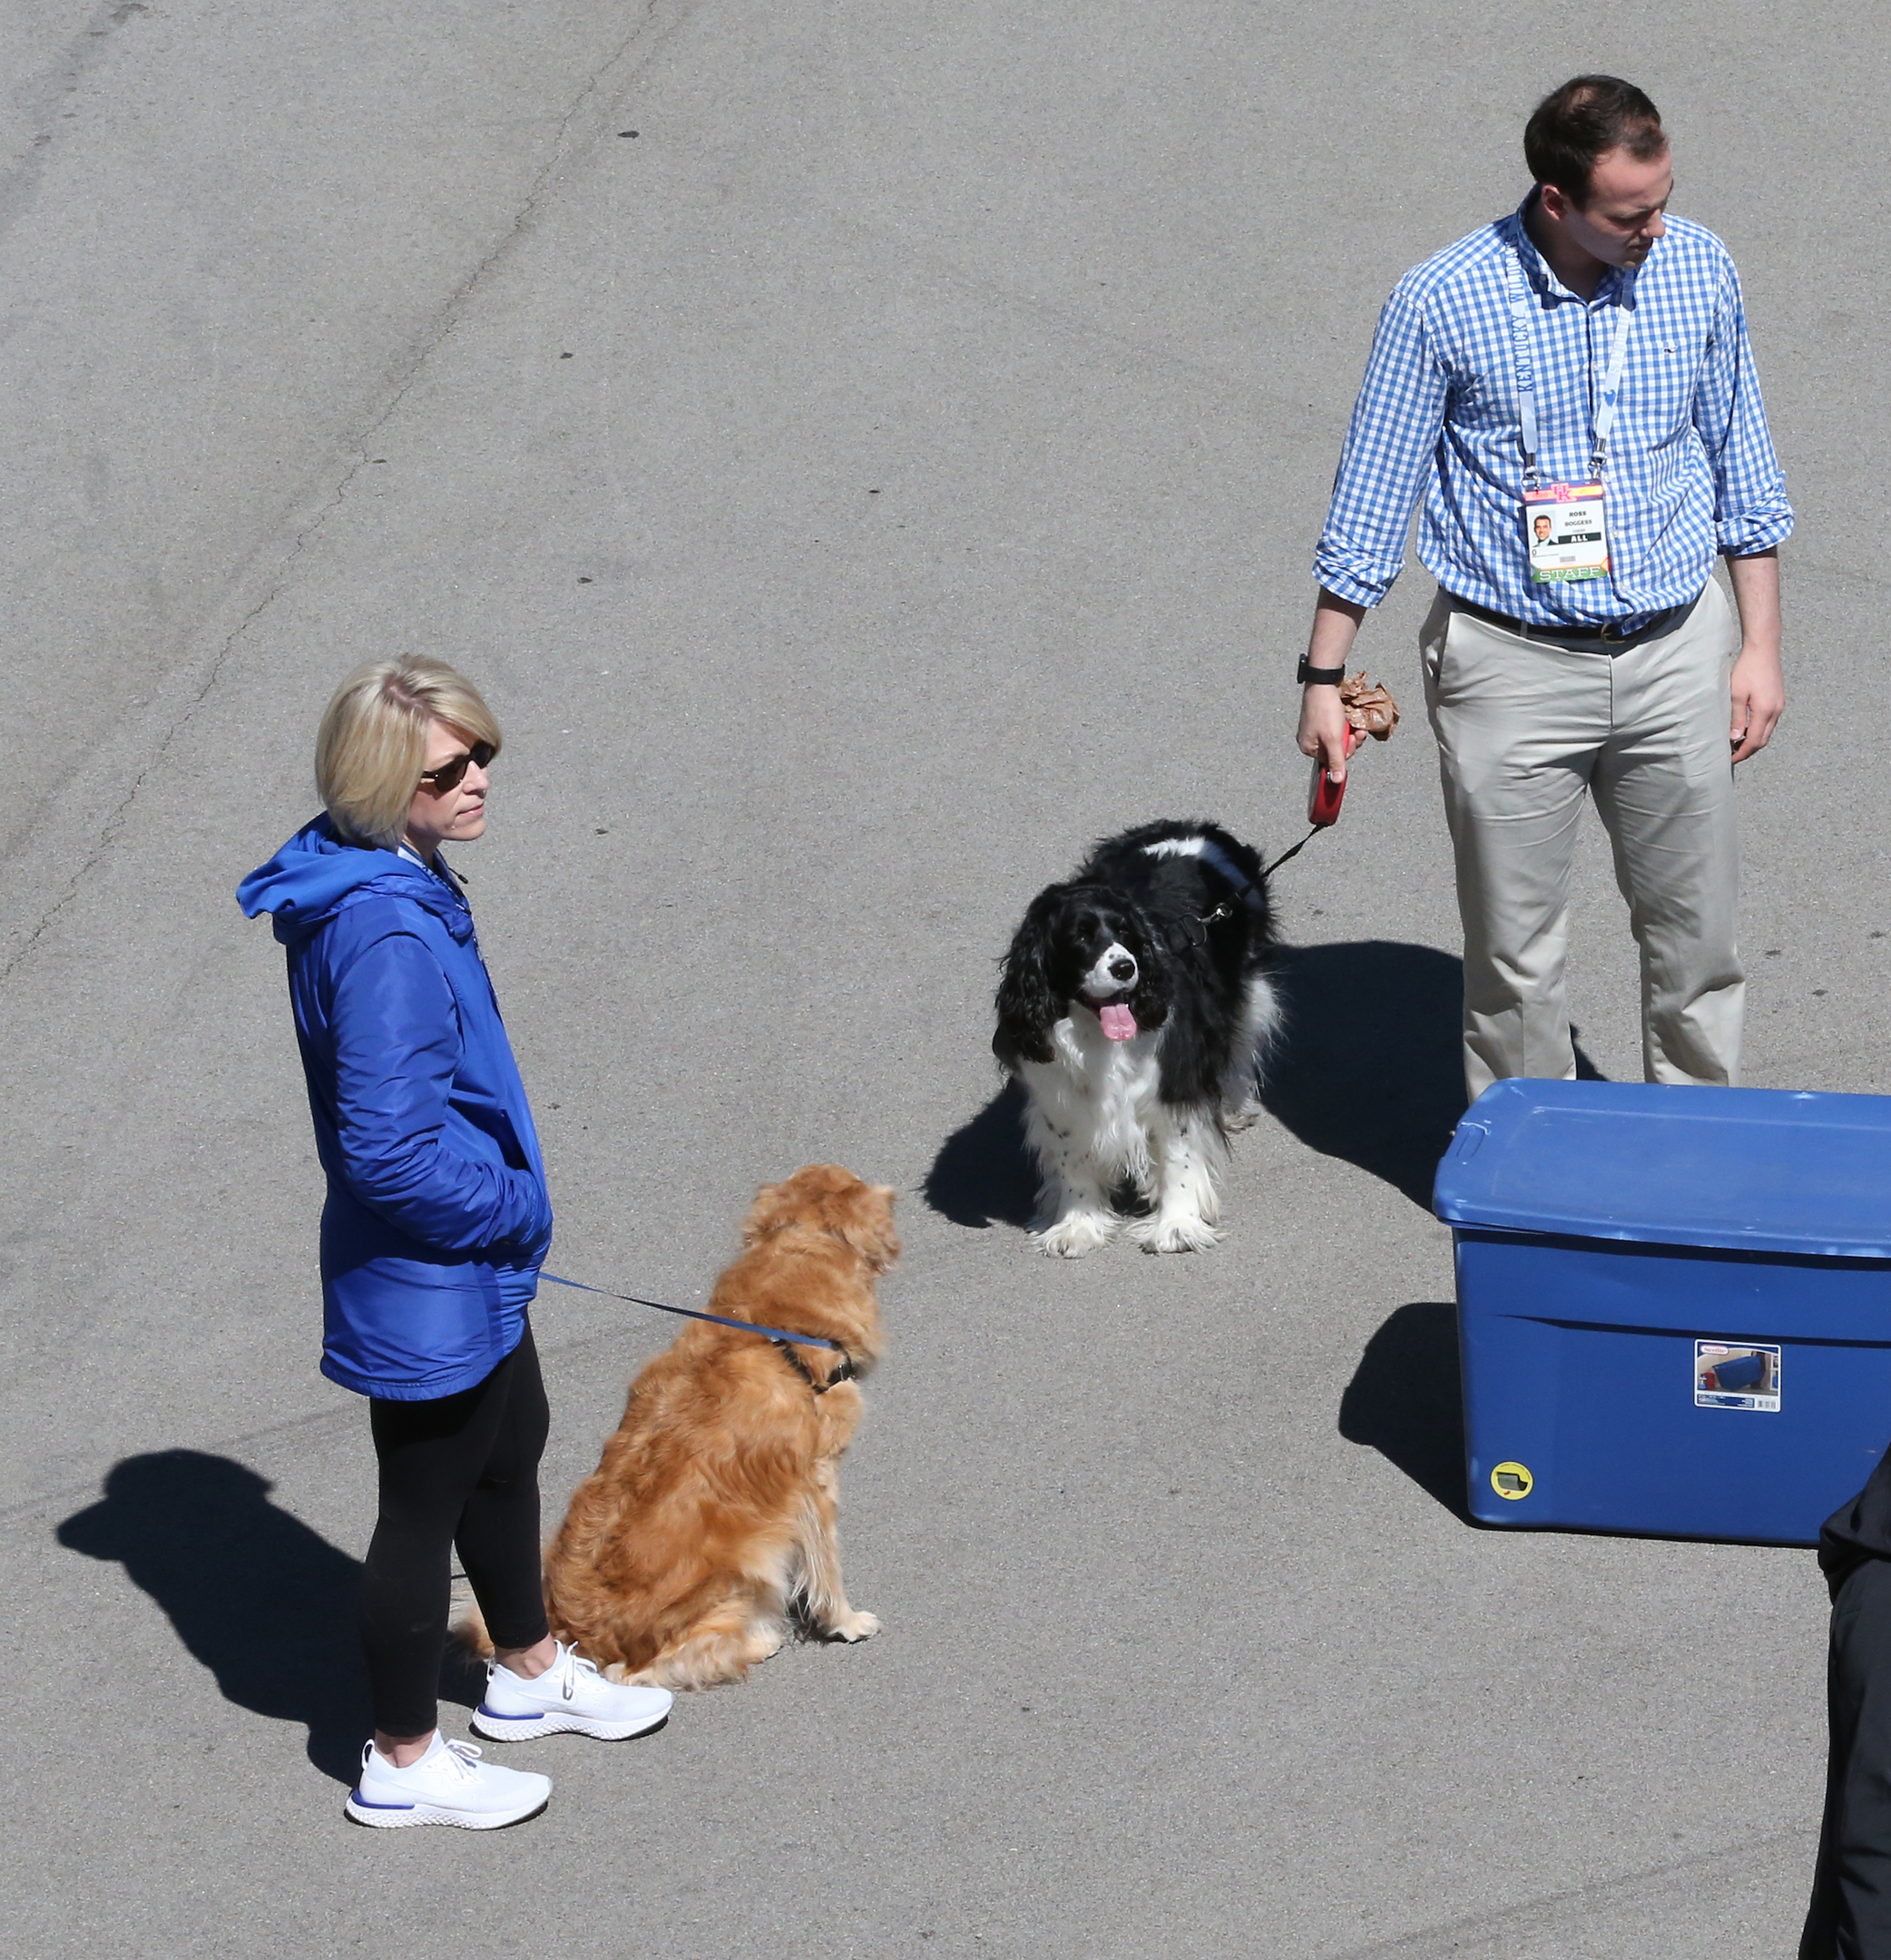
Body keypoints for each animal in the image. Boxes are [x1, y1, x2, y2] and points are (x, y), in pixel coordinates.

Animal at [536, 1160, 897, 1685]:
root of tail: (577, 1634)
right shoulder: (815, 1480)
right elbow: (826, 1565)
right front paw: (846, 1622)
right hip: (746, 1564)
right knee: (637, 1673)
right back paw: (759, 1639)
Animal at [987, 823, 1285, 1254]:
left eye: (1125, 931)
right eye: (1079, 937)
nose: (1126, 967)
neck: (1093, 1031)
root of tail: (1192, 828)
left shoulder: (1173, 1082)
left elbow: (1179, 1156)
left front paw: (1177, 1227)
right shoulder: (1060, 1095)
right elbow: (1073, 1160)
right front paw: (1077, 1226)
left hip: (1247, 987)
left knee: (1240, 1041)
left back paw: (1231, 1107)